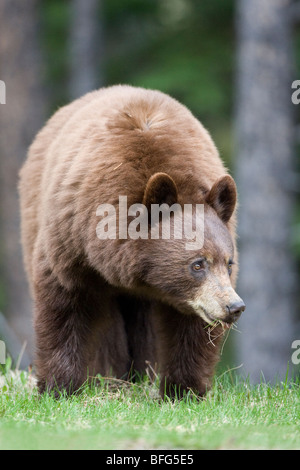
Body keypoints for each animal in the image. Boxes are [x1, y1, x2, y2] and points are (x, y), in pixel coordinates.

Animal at [18, 84, 245, 396]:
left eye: (229, 263)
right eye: (198, 264)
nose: (234, 307)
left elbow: (191, 328)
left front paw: (183, 389)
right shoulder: (71, 238)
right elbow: (63, 304)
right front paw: (59, 387)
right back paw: (112, 375)